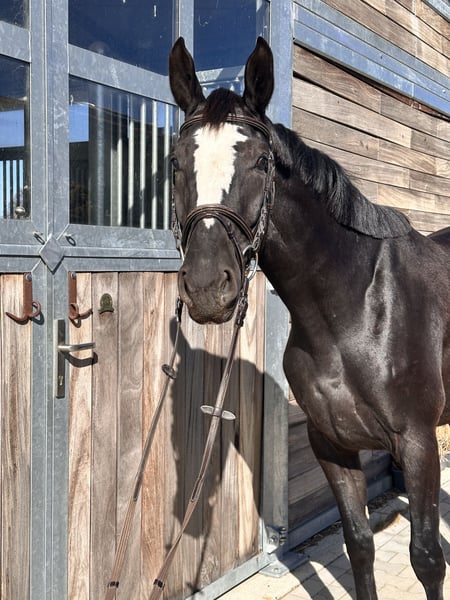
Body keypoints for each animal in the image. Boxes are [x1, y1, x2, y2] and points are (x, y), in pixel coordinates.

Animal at [168, 37, 450, 600]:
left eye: (260, 162)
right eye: (176, 163)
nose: (207, 287)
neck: (356, 310)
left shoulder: (418, 444)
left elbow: (427, 558)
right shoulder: (331, 444)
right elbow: (359, 544)